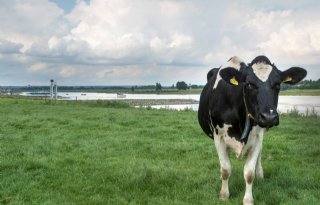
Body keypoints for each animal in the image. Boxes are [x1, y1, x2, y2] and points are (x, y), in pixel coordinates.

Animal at [199, 55, 306, 205]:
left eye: (278, 85)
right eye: (249, 84)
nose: (269, 117)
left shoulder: (257, 137)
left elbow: (249, 173)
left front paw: (248, 199)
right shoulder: (218, 137)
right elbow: (225, 169)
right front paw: (224, 195)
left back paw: (260, 174)